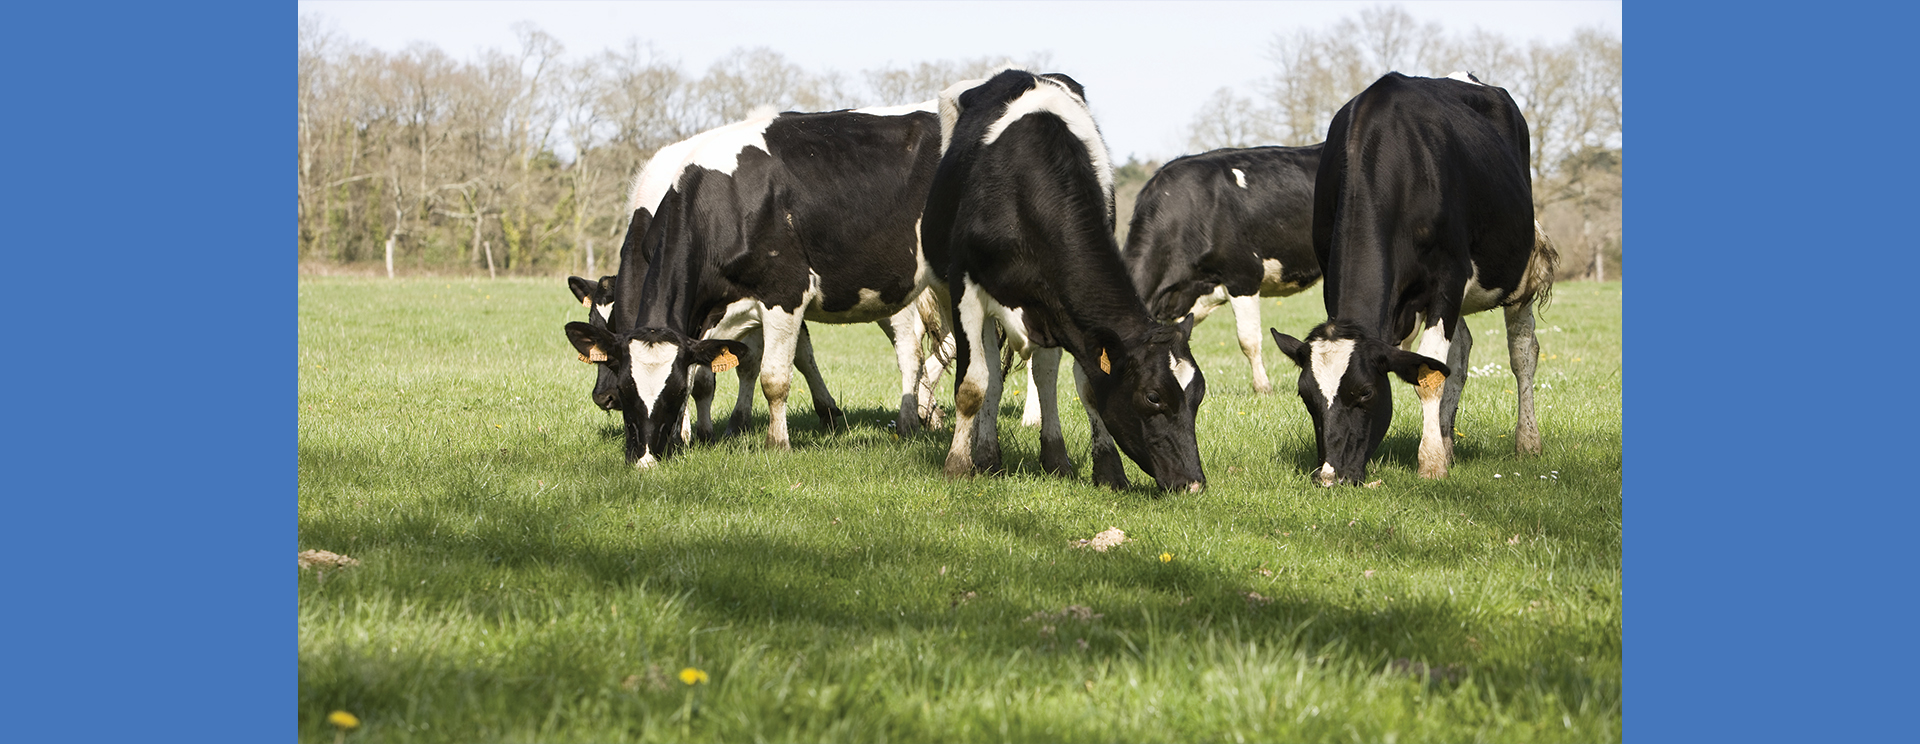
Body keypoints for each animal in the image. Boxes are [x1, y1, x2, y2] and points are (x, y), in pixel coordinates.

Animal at [564, 101, 948, 467]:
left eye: (673, 392)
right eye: (627, 388)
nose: (605, 397)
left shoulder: (785, 291)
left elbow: (772, 375)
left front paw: (774, 441)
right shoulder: (717, 310)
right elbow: (721, 369)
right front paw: (701, 432)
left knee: (911, 351)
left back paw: (910, 422)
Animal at [921, 66, 1205, 490]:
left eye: (1198, 394)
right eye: (1153, 396)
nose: (1193, 483)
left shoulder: (1069, 318)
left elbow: (1086, 384)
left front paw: (1108, 469)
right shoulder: (965, 285)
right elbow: (972, 385)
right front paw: (957, 465)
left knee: (1041, 374)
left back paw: (1050, 457)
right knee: (990, 374)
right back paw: (985, 455)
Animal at [1267, 72, 1551, 485]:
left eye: (1366, 393)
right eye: (1306, 397)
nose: (1329, 476)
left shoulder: (1448, 279)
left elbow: (1430, 374)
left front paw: (1430, 464)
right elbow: (1436, 366)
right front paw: (1437, 452)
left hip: (1516, 274)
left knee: (1522, 351)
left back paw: (1527, 442)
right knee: (1460, 355)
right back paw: (1448, 440)